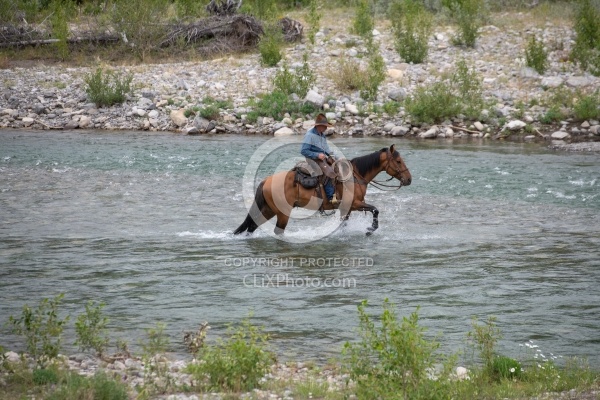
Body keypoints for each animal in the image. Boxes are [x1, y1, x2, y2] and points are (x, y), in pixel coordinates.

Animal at [232, 145, 410, 236]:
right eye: (398, 161)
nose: (409, 179)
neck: (356, 176)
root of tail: (266, 180)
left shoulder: (348, 209)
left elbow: (344, 224)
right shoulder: (355, 204)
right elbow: (375, 210)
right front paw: (371, 229)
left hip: (268, 209)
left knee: (252, 226)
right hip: (282, 213)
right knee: (277, 231)